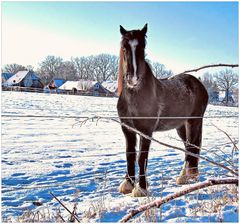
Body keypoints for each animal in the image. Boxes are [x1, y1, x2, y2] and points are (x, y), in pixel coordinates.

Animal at [116, 23, 208, 197]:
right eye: (124, 47)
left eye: (142, 47)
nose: (133, 78)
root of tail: (198, 84)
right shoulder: (127, 129)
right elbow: (130, 155)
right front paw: (128, 185)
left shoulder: (146, 131)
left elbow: (142, 158)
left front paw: (141, 189)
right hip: (181, 126)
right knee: (187, 147)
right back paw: (185, 177)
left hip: (193, 122)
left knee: (191, 148)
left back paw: (185, 177)